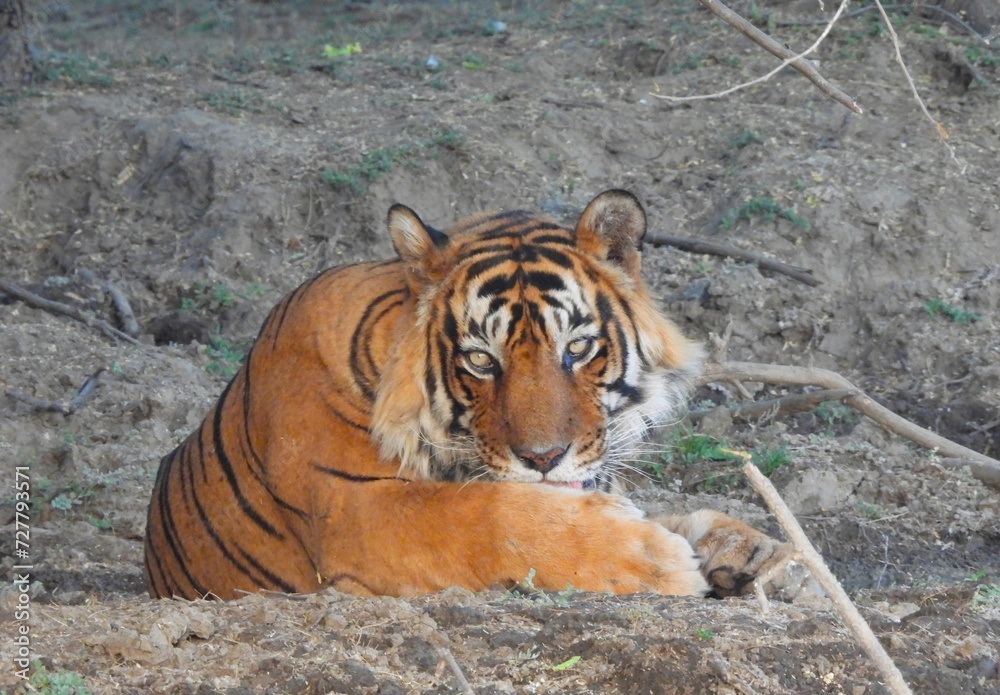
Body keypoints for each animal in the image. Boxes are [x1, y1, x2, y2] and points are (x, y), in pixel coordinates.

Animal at [144, 189, 791, 601]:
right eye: (481, 359)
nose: (543, 458)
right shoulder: (355, 510)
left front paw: (759, 552)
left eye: (578, 348)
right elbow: (494, 515)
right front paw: (659, 559)